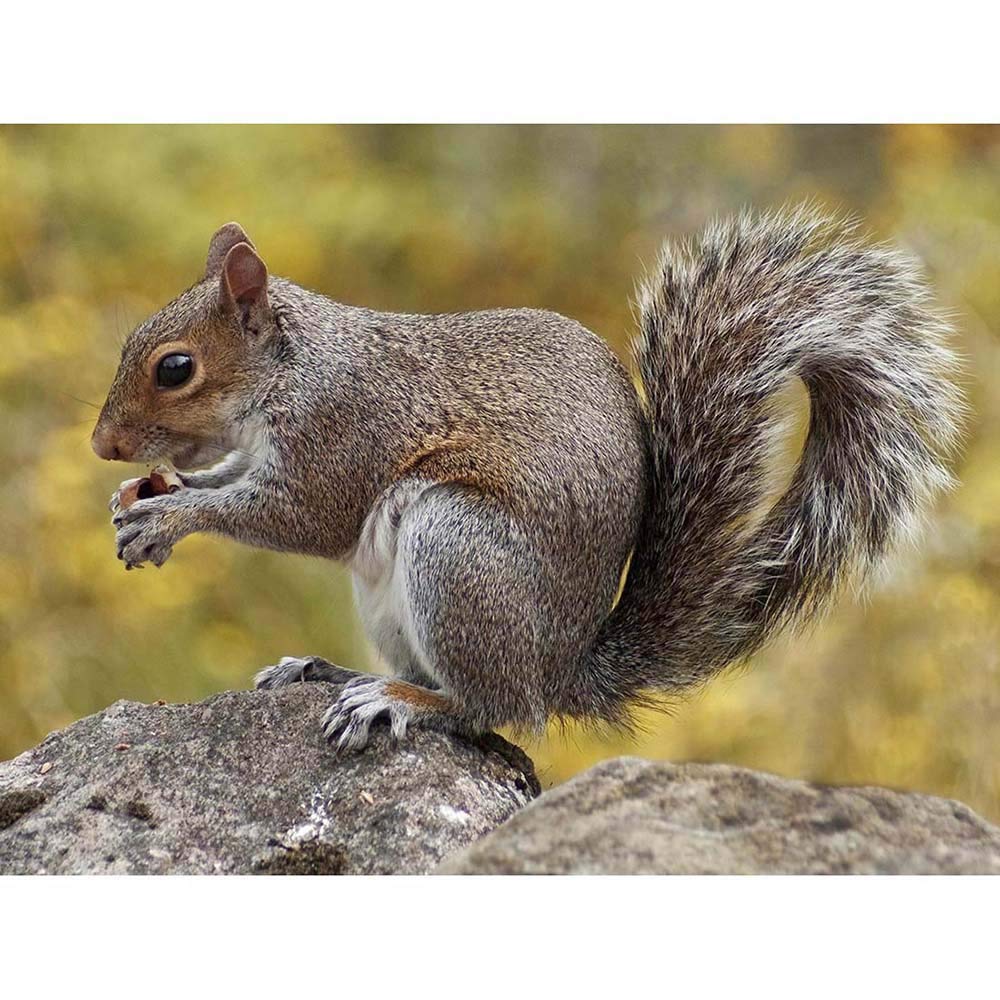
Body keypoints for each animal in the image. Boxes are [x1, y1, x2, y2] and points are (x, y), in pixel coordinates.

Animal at [92, 207, 964, 750]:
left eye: (175, 368)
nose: (103, 445)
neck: (293, 369)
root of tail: (560, 669)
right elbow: (234, 478)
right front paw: (148, 496)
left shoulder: (343, 432)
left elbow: (300, 516)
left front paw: (169, 517)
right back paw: (331, 671)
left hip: (457, 550)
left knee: (490, 711)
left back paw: (398, 701)